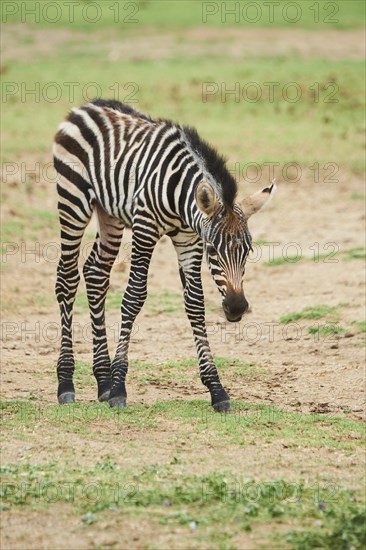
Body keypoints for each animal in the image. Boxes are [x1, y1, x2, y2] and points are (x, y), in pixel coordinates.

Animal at [53, 99, 274, 412]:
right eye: (212, 250)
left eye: (248, 251)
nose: (236, 308)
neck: (181, 198)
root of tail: (89, 105)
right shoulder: (145, 228)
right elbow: (134, 297)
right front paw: (119, 387)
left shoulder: (188, 240)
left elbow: (195, 305)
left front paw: (216, 388)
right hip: (73, 199)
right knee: (67, 278)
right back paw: (67, 382)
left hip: (110, 214)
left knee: (96, 274)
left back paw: (102, 381)